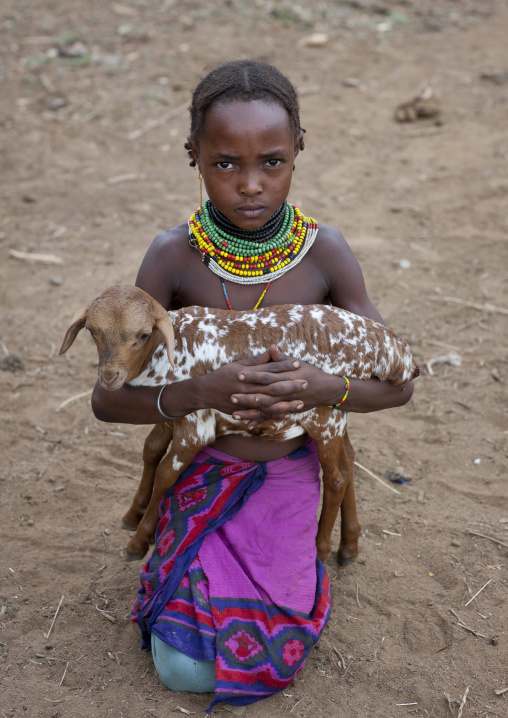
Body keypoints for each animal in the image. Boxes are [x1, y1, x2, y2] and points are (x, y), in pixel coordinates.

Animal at [59, 285, 418, 563]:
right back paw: (349, 546)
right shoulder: (171, 413)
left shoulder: (195, 427)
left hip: (324, 414)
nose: (110, 377)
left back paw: (319, 550)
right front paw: (133, 516)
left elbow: (165, 475)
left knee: (337, 478)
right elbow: (151, 450)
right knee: (350, 460)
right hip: (337, 416)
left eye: (143, 334)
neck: (165, 353)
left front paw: (138, 542)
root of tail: (394, 350)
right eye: (92, 331)